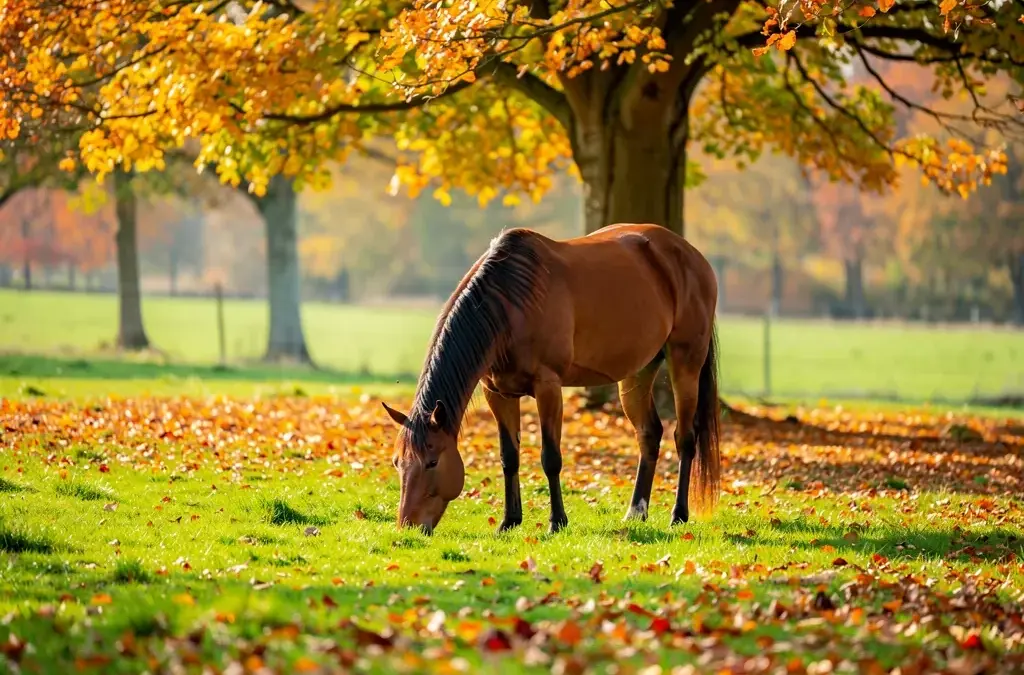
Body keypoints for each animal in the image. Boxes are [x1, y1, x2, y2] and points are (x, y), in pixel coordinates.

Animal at [381, 223, 721, 535]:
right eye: (397, 462)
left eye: (432, 461)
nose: (408, 526)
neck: (512, 302)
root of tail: (692, 257)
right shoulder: (498, 393)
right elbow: (509, 457)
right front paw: (509, 521)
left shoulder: (548, 388)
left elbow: (550, 458)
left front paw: (557, 521)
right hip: (638, 373)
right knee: (649, 434)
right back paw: (635, 513)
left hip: (685, 363)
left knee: (685, 438)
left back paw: (678, 515)